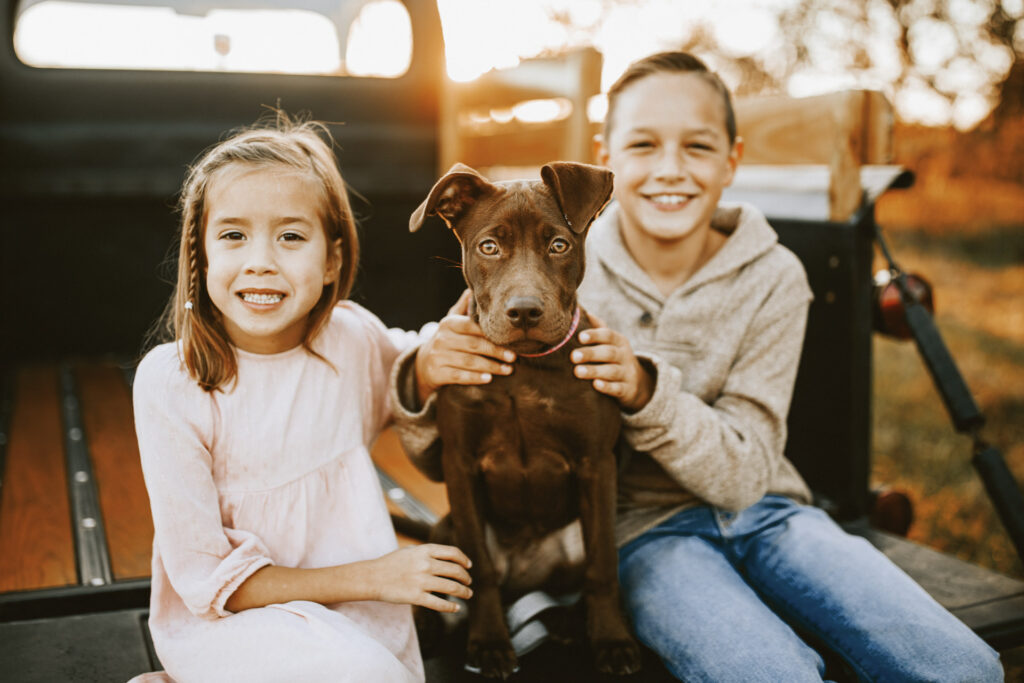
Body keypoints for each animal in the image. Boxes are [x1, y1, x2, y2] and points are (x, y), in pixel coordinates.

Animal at [409, 162, 642, 679]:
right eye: (488, 247)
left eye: (558, 245)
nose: (524, 312)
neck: (523, 367)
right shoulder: (461, 463)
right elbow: (479, 570)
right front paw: (490, 642)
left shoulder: (597, 465)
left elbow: (603, 566)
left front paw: (612, 640)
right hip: (447, 528)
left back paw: (570, 625)